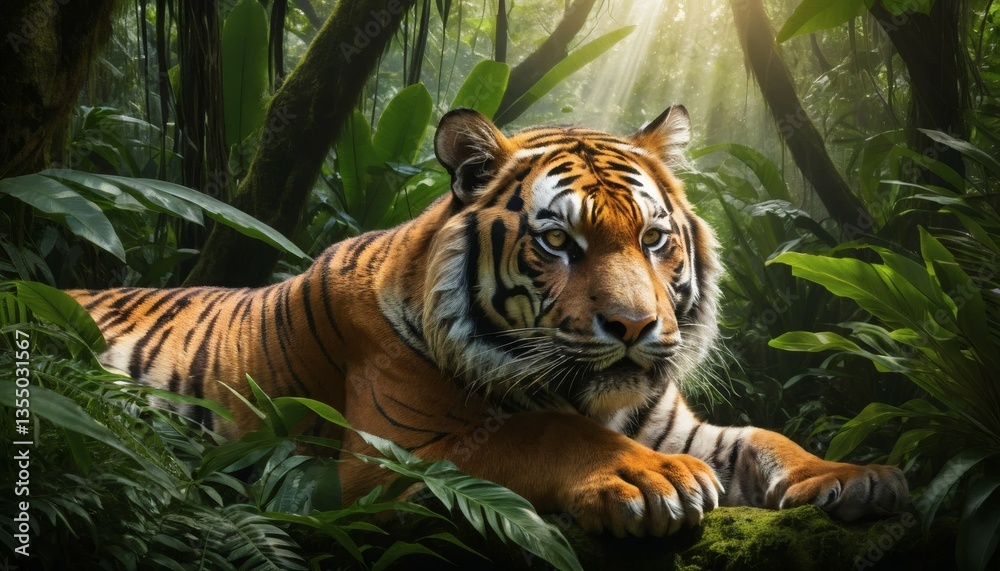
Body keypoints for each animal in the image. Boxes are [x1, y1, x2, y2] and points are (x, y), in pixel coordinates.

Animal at [68, 106, 909, 537]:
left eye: (653, 238)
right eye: (559, 242)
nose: (635, 326)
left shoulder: (677, 423)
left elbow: (767, 439)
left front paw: (853, 475)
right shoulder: (395, 458)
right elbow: (540, 432)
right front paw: (650, 478)